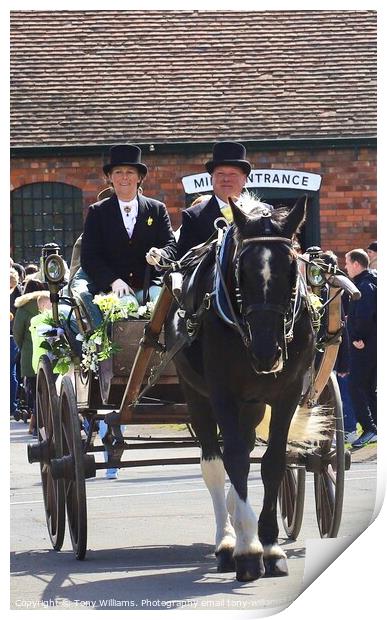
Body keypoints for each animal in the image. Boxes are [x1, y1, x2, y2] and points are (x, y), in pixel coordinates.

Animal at [165, 196, 320, 584]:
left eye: (292, 267)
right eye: (242, 271)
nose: (267, 352)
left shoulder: (287, 393)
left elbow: (272, 462)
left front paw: (271, 546)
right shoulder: (222, 392)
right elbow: (232, 459)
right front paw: (248, 550)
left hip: (251, 404)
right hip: (197, 394)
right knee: (214, 462)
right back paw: (227, 542)